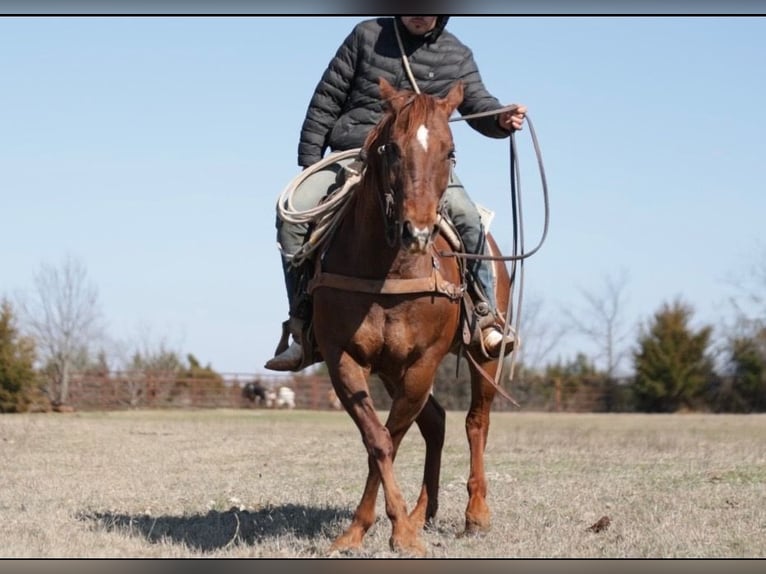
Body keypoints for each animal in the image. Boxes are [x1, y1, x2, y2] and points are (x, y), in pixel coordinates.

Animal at [308, 77, 516, 560]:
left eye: (450, 151)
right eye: (392, 148)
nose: (418, 232)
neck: (389, 270)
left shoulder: (423, 362)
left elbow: (394, 435)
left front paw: (400, 532)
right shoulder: (344, 360)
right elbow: (379, 441)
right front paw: (364, 531)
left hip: (484, 355)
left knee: (476, 422)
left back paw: (476, 514)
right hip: (389, 367)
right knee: (436, 422)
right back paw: (424, 512)